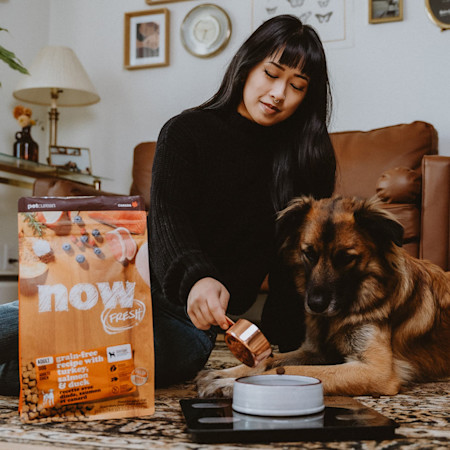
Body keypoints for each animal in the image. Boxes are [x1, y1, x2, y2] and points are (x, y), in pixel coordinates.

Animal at [197, 197, 450, 398]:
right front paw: (225, 373)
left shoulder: (375, 370)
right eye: (309, 253)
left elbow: (294, 372)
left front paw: (231, 384)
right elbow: (270, 360)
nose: (315, 305)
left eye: (346, 258)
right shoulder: (315, 351)